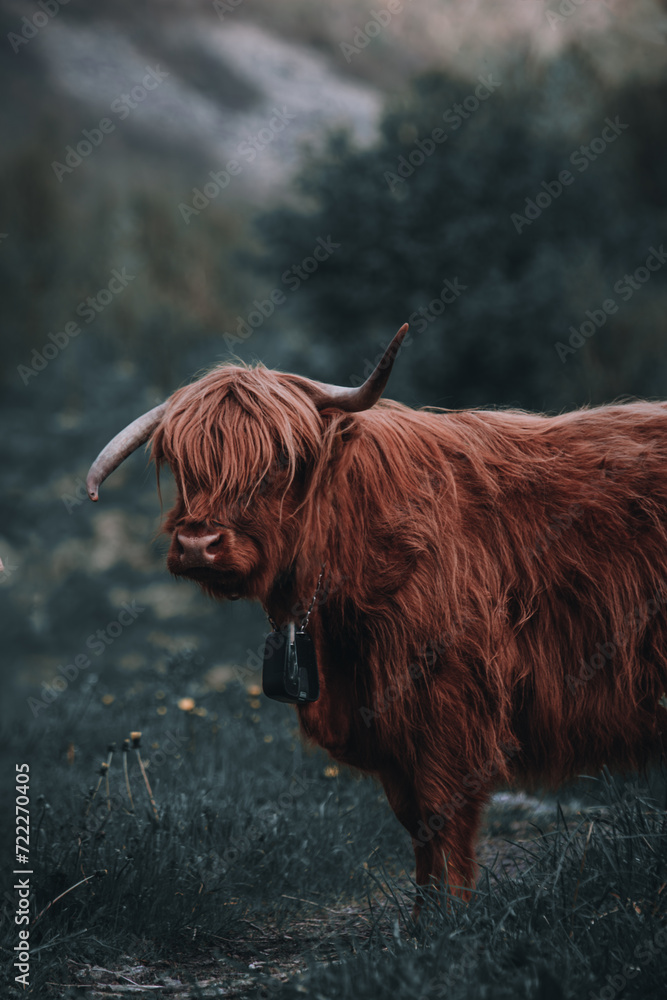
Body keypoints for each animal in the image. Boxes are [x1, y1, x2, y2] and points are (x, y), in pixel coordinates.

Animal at [86, 323, 667, 906]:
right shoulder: (384, 721)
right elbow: (414, 822)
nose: (196, 545)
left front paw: (451, 914)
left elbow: (442, 812)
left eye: (279, 462)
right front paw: (423, 911)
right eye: (182, 466)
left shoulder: (449, 698)